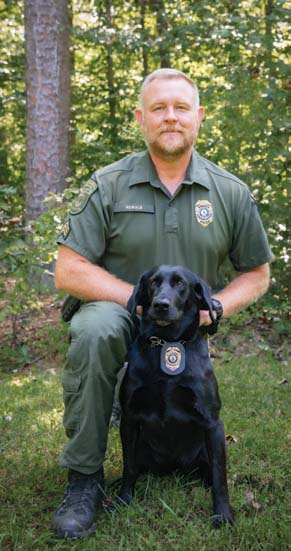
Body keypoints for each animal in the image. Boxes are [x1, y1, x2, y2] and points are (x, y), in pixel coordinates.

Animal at [114, 266, 235, 528]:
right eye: (153, 282)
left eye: (180, 284)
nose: (161, 305)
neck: (166, 342)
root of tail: (173, 469)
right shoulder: (129, 418)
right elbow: (129, 467)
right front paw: (123, 499)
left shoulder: (213, 422)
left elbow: (220, 477)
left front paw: (223, 515)